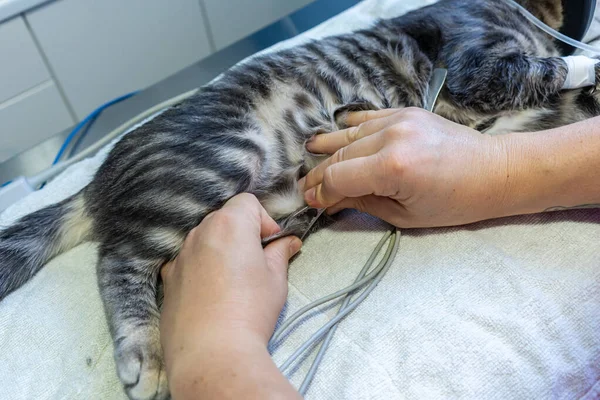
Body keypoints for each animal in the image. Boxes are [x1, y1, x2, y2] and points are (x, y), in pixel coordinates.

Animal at [1, 0, 600, 396]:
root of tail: (100, 178)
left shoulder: (522, 117)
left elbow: (566, 103)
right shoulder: (476, 64)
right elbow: (547, 65)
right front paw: (587, 63)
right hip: (222, 159)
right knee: (118, 261)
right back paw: (143, 353)